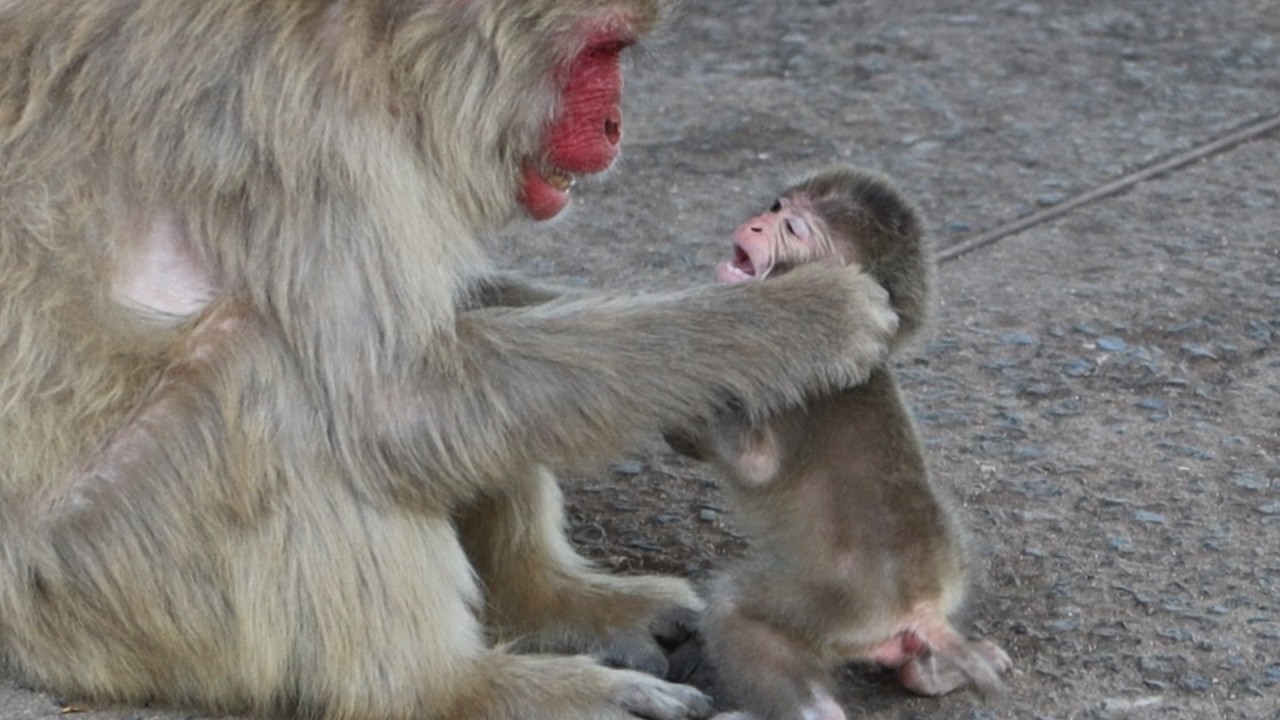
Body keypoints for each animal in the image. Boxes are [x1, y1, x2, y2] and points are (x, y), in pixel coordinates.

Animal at [0, 3, 903, 720]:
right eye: (604, 50)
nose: (616, 127)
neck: (377, 54)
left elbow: (455, 329)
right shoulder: (296, 126)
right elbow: (396, 402)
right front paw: (795, 325)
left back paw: (547, 599)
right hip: (98, 587)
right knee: (270, 374)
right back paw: (452, 689)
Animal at [679, 168, 1012, 720]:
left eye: (792, 230)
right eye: (777, 208)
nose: (755, 224)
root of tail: (919, 605)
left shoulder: (789, 378)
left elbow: (754, 464)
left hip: (841, 612)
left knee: (735, 609)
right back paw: (930, 674)